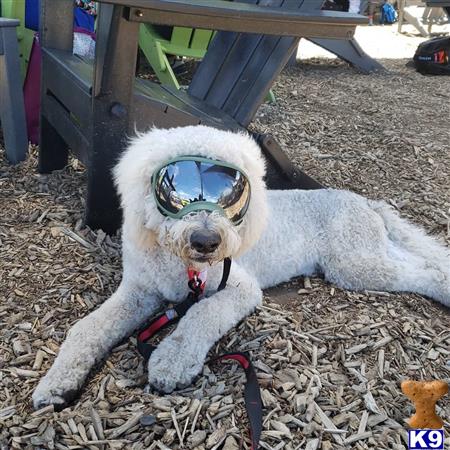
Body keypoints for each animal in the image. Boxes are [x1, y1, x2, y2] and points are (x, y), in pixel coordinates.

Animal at [32, 125, 450, 410]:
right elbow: (87, 328)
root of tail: (365, 202)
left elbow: (200, 315)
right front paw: (57, 383)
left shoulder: (238, 288)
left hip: (353, 264)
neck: (181, 264)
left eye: (231, 193)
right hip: (368, 252)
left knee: (424, 271)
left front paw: (171, 361)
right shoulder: (139, 292)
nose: (206, 241)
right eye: (175, 188)